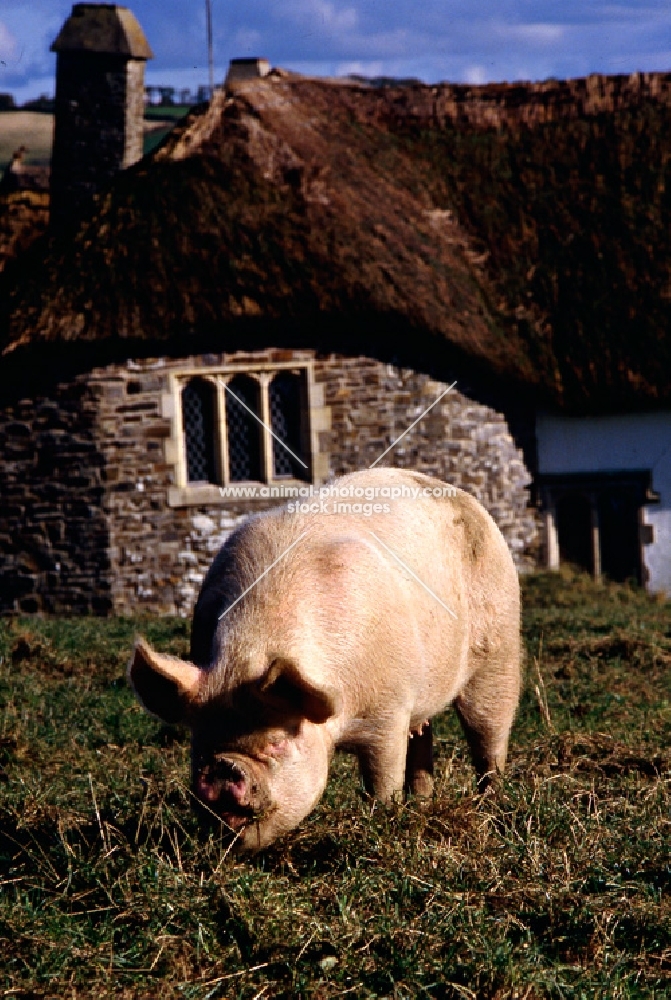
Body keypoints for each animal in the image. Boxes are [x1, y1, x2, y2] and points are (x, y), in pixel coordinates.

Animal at [129, 468, 524, 852]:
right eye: (201, 741)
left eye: (277, 742)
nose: (224, 768)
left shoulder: (389, 709)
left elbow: (382, 777)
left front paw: (384, 820)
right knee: (423, 738)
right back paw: (423, 806)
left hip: (499, 649)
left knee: (488, 735)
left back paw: (490, 806)